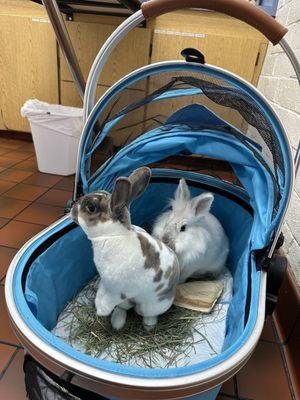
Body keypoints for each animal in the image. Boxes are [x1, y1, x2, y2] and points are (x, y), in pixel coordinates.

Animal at [70, 167, 179, 330]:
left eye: (91, 207)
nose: (73, 207)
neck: (113, 235)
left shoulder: (120, 291)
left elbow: (109, 301)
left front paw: (101, 311)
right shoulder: (106, 283)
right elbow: (102, 292)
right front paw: (99, 303)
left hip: (149, 306)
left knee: (145, 313)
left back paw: (148, 325)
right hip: (128, 301)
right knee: (123, 308)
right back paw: (117, 323)